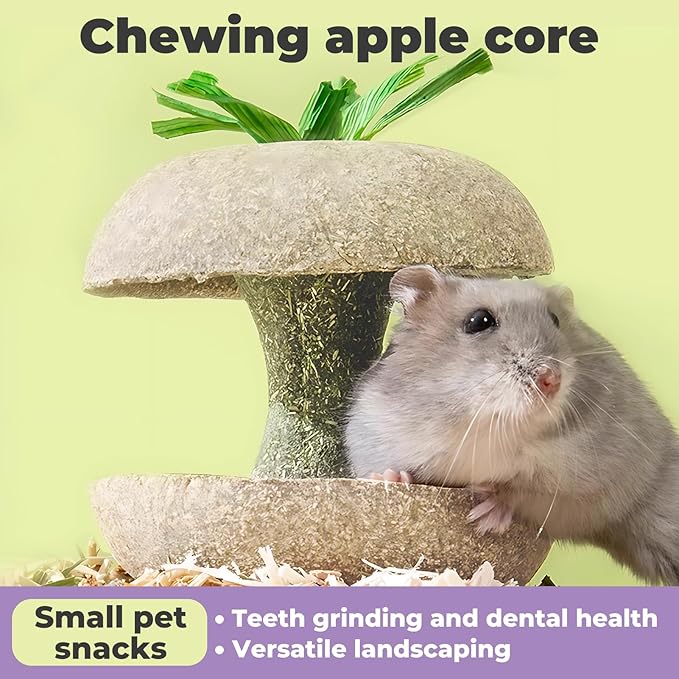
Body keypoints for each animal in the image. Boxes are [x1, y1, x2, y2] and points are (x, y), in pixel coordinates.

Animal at [345, 265, 679, 585]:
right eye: (479, 321)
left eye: (555, 320)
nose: (551, 379)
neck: (488, 423)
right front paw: (389, 478)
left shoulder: (591, 485)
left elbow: (528, 493)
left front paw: (485, 514)